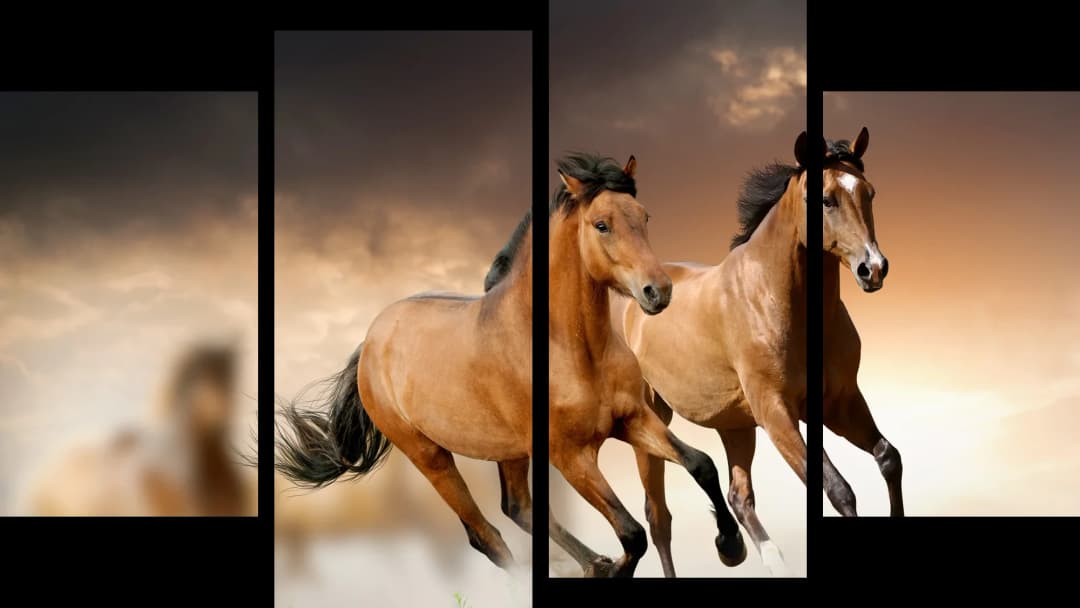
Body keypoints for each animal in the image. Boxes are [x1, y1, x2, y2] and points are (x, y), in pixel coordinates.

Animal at [276, 153, 745, 578]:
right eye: (602, 224)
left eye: (644, 216)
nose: (658, 291)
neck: (572, 350)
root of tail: (371, 343)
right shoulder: (570, 456)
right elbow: (632, 534)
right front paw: (615, 569)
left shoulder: (632, 419)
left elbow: (701, 464)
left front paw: (730, 546)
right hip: (429, 456)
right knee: (486, 536)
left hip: (509, 451)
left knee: (518, 507)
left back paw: (592, 562)